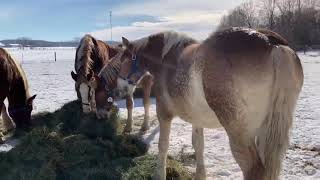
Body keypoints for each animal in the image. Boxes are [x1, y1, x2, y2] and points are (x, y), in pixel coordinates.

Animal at [114, 27, 304, 179]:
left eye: (123, 60)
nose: (119, 89)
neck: (166, 61)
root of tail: (272, 45)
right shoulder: (196, 118)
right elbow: (198, 145)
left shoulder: (164, 113)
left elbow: (163, 145)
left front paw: (158, 175)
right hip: (266, 130)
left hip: (239, 132)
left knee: (253, 168)